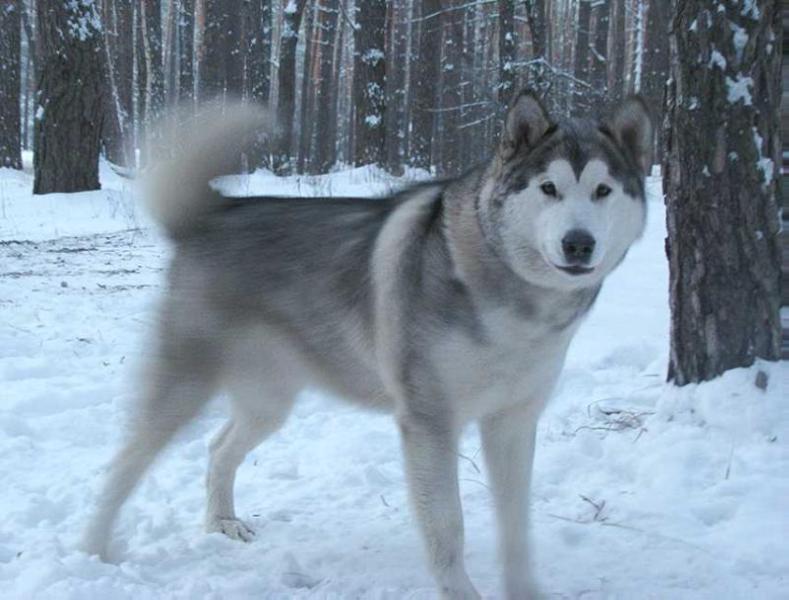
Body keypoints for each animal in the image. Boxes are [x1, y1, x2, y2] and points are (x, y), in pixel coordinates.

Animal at [84, 90, 652, 600]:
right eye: (549, 188)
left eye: (602, 191)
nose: (578, 243)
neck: (512, 299)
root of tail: (212, 213)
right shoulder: (429, 423)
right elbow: (449, 527)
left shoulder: (512, 422)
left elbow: (516, 528)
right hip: (184, 386)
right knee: (122, 463)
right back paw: (93, 550)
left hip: (269, 401)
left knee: (219, 448)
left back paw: (222, 522)